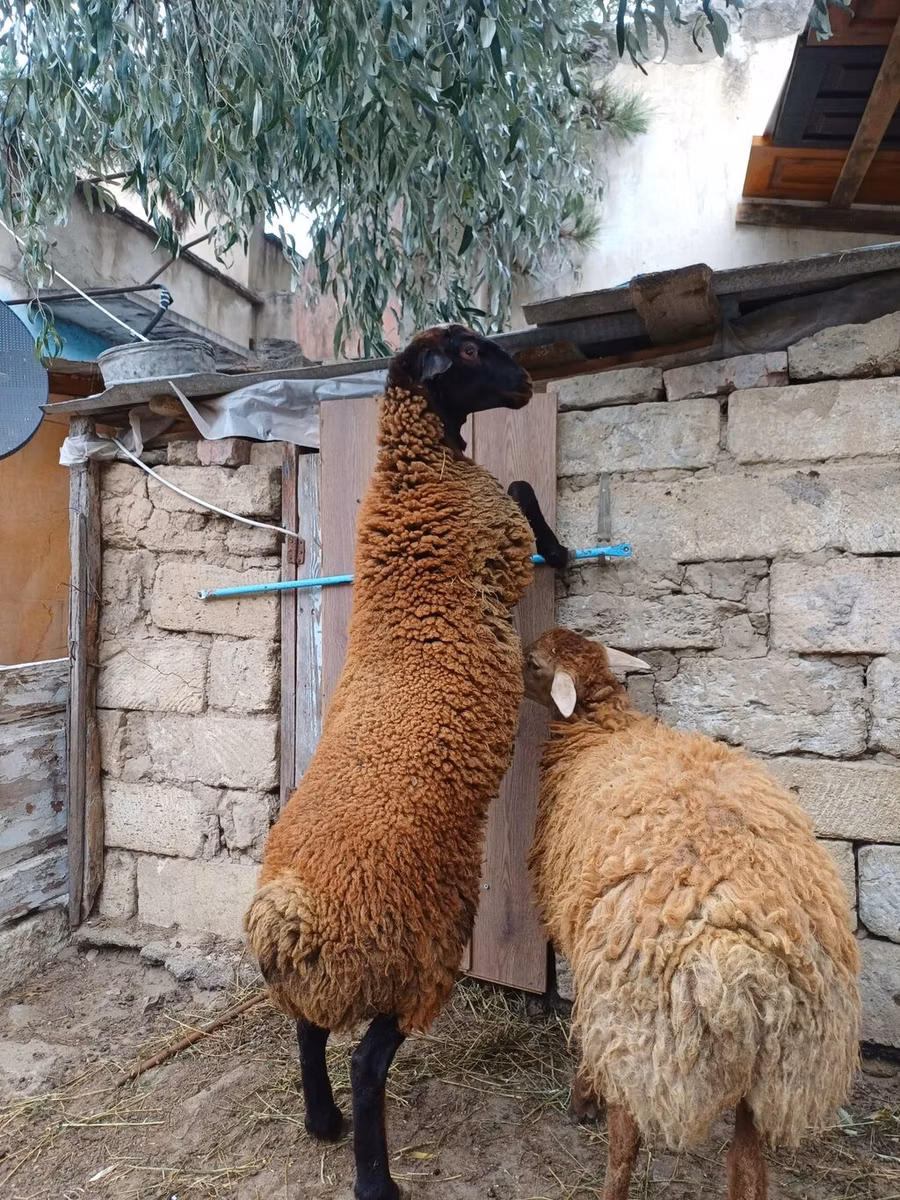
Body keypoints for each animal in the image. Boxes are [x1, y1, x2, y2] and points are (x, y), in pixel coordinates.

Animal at [245, 325, 568, 1200]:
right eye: (473, 352)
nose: (527, 384)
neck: (414, 474)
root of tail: (294, 923)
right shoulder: (499, 535)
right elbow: (522, 490)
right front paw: (566, 551)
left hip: (338, 979)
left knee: (310, 1034)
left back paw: (322, 1124)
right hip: (419, 952)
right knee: (365, 1060)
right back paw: (374, 1179)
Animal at [523, 627, 861, 1200]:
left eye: (532, 663)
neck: (603, 726)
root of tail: (749, 975)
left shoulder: (591, 964)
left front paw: (584, 1094)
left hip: (647, 1045)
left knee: (627, 1141)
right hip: (776, 1069)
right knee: (746, 1166)